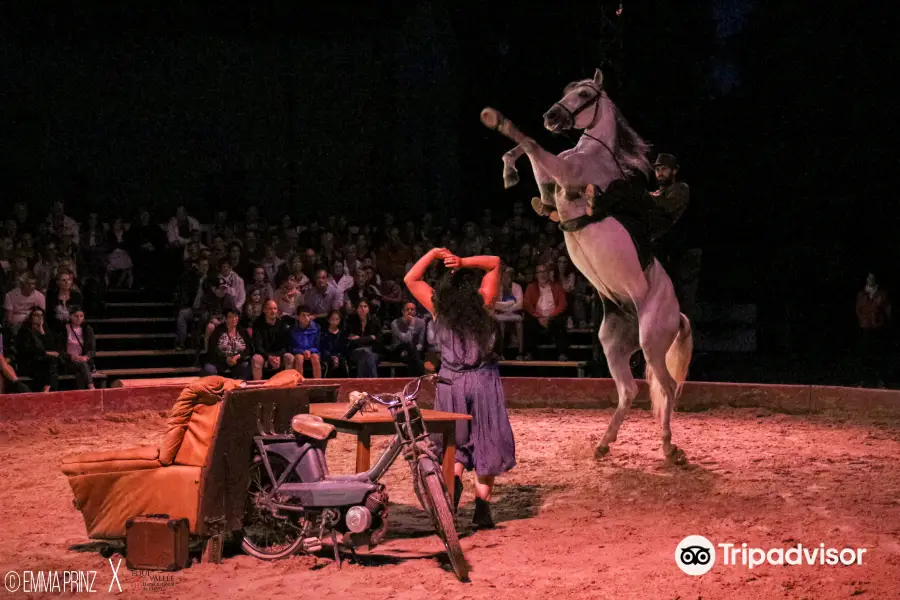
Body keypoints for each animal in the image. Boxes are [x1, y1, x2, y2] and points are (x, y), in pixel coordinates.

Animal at [482, 67, 692, 464]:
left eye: (584, 94)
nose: (551, 116)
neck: (592, 153)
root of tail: (678, 315)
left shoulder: (564, 172)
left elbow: (531, 143)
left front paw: (497, 121)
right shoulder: (555, 177)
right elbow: (532, 159)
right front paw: (511, 174)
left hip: (651, 340)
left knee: (668, 386)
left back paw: (670, 448)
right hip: (614, 343)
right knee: (629, 390)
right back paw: (604, 444)